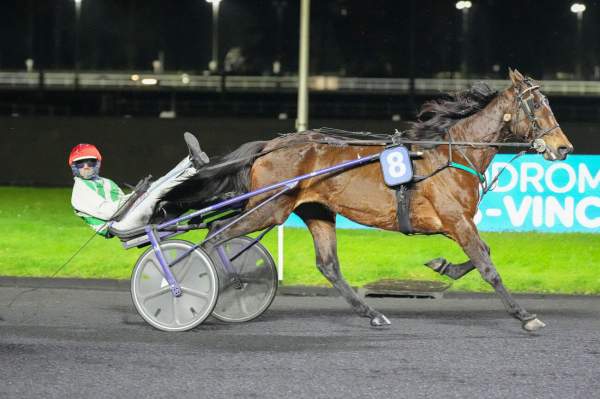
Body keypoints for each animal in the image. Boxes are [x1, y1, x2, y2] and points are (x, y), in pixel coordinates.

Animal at [163, 70, 572, 332]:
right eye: (538, 107)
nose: (564, 148)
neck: (451, 154)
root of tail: (271, 145)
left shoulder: (457, 223)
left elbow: (481, 255)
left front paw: (441, 266)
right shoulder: (455, 220)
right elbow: (488, 265)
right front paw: (524, 315)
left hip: (314, 210)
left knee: (328, 265)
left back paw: (372, 313)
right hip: (269, 207)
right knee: (215, 232)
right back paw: (207, 284)